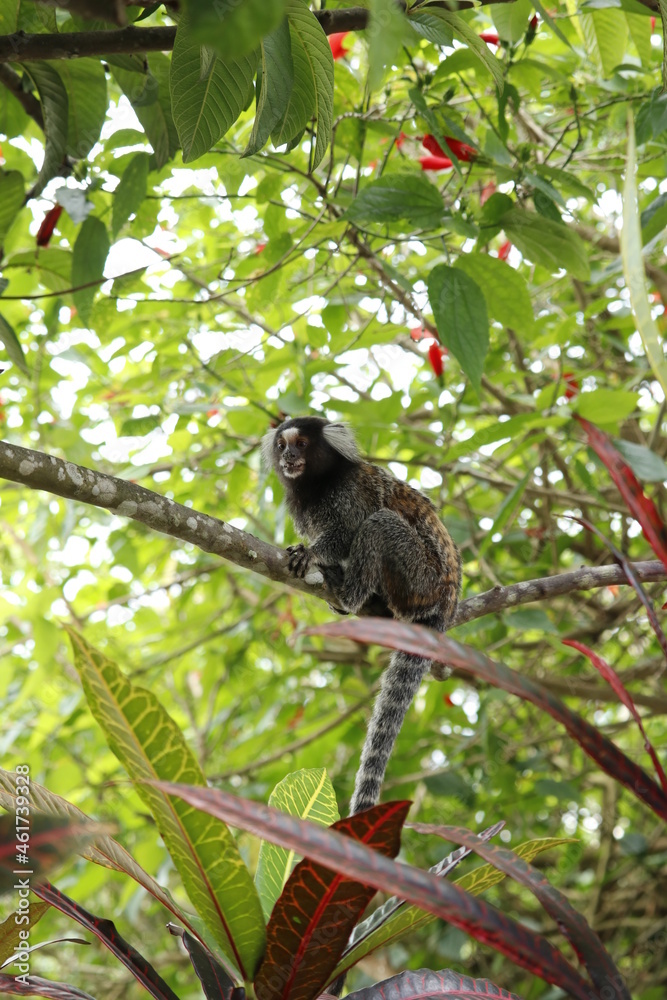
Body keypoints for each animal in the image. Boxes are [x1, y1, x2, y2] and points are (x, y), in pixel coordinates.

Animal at [263, 415, 462, 815]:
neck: (318, 484)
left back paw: (349, 595)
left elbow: (349, 531)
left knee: (378, 523)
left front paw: (313, 553)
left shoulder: (350, 494)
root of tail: (446, 602)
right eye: (281, 446)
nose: (289, 456)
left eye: (302, 444)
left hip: (420, 574)